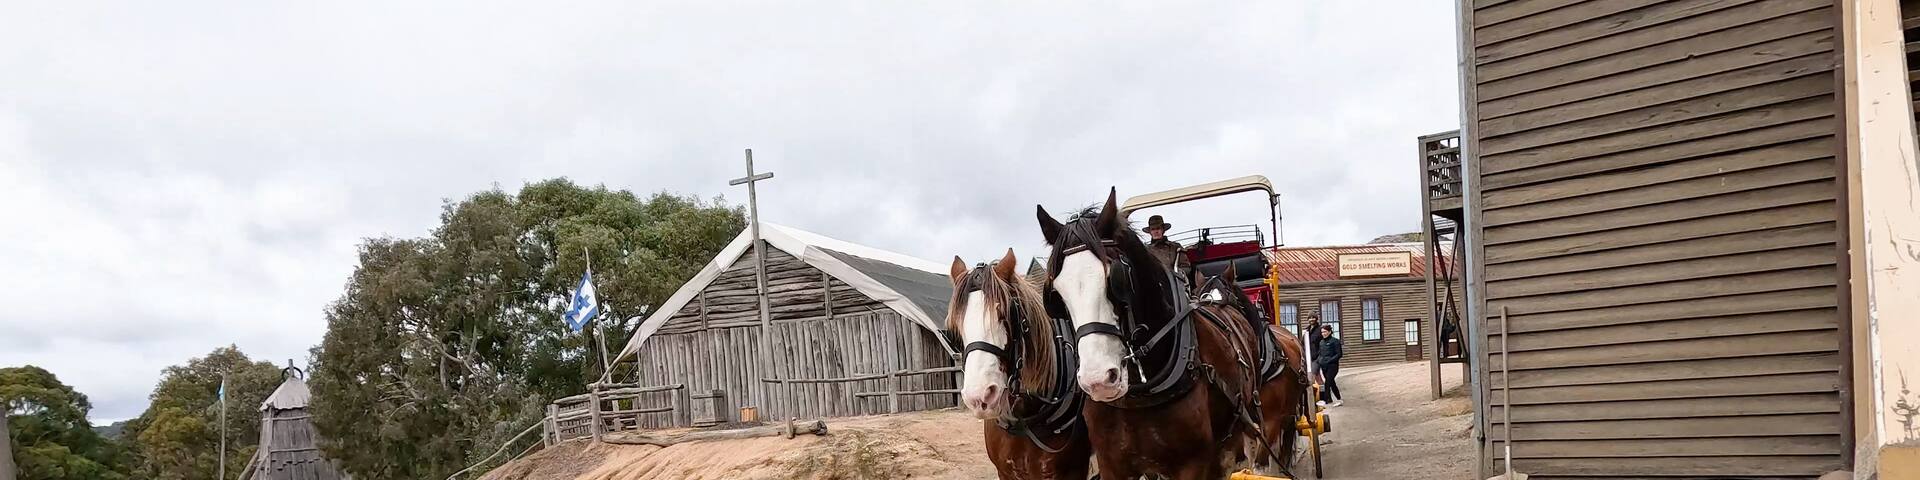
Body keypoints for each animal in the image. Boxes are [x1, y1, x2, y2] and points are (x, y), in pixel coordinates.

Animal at [1036, 189, 1289, 479]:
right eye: (1055, 294)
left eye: (1115, 279)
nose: (1097, 380)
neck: (1141, 391)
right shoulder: (1112, 464)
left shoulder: (1192, 464)